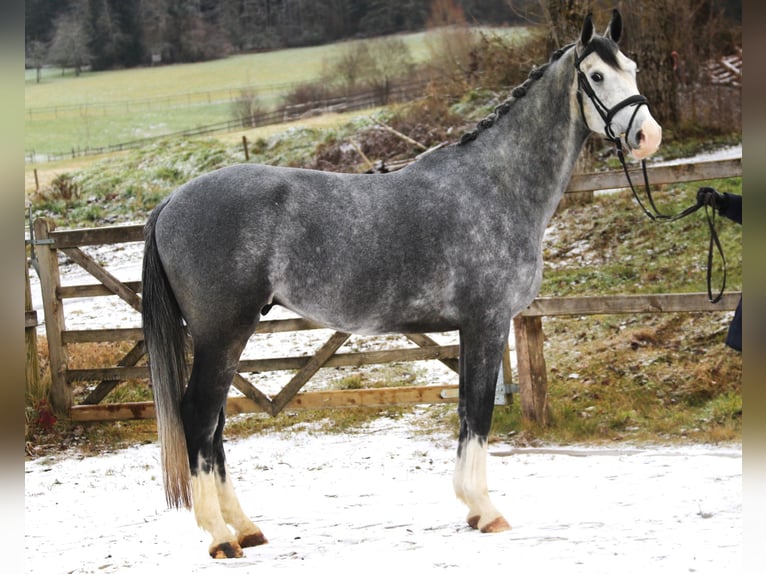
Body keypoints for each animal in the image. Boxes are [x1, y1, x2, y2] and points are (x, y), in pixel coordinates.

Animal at [141, 9, 661, 559]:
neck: (497, 186)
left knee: (215, 425)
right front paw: (486, 510)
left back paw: (245, 528)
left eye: (632, 68)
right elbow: (478, 411)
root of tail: (171, 201)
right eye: (597, 76)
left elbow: (466, 409)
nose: (648, 136)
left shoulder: (470, 330)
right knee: (199, 417)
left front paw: (473, 508)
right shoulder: (487, 323)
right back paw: (221, 536)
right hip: (223, 333)